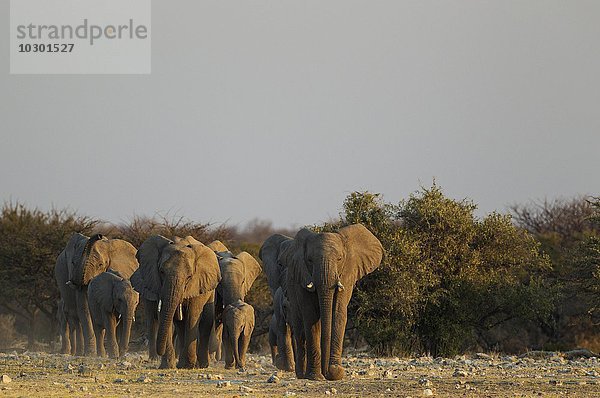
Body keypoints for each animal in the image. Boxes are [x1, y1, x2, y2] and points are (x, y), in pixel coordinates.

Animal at [129, 235, 220, 368]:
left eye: (189, 277)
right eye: (161, 272)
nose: (159, 352)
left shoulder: (197, 283)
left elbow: (192, 317)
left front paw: (188, 366)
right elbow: (165, 315)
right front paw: (167, 366)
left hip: (210, 288)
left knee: (205, 321)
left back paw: (202, 365)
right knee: (180, 325)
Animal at [278, 222, 382, 380]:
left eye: (339, 259)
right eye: (310, 260)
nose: (328, 372)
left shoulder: (346, 275)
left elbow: (338, 313)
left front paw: (336, 372)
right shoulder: (303, 278)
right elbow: (311, 317)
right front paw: (316, 376)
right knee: (300, 329)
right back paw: (302, 374)